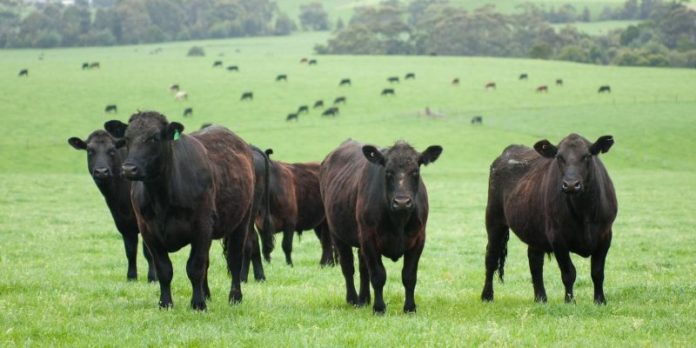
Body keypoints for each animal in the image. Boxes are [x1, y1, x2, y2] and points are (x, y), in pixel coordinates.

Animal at [66, 129, 156, 282]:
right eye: (90, 151)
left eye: (112, 151)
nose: (101, 171)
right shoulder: (123, 222)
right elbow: (130, 250)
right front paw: (131, 277)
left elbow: (148, 252)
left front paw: (153, 278)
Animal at [107, 112, 260, 310]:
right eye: (127, 138)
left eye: (154, 138)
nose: (128, 169)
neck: (161, 198)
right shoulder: (148, 231)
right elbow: (164, 269)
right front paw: (165, 303)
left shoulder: (202, 226)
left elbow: (195, 267)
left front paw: (198, 304)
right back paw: (207, 294)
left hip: (242, 221)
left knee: (234, 260)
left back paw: (235, 297)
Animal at [320, 140, 444, 314]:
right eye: (388, 172)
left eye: (415, 171)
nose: (402, 202)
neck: (398, 221)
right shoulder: (369, 239)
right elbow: (378, 275)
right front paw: (379, 308)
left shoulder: (419, 239)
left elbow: (409, 276)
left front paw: (410, 308)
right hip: (337, 234)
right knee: (348, 267)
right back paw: (353, 299)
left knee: (362, 267)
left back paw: (364, 299)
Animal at [482, 133, 616, 304]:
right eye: (559, 157)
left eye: (587, 156)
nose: (571, 185)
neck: (584, 212)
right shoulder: (558, 238)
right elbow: (569, 273)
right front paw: (569, 302)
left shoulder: (605, 236)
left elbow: (597, 272)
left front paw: (600, 301)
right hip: (494, 219)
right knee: (491, 257)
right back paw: (487, 296)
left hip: (533, 228)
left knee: (535, 261)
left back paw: (540, 298)